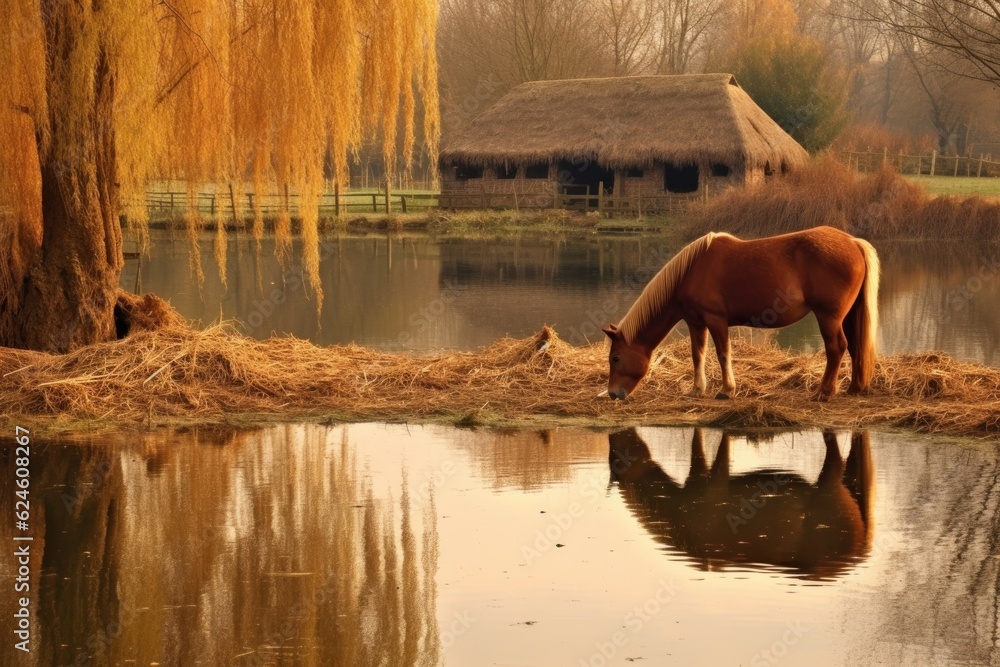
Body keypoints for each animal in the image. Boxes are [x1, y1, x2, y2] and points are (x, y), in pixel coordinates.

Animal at [602, 226, 880, 400]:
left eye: (615, 358)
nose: (613, 394)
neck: (691, 271)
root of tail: (853, 243)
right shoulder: (695, 322)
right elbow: (697, 355)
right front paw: (697, 390)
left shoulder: (716, 320)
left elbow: (723, 354)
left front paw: (727, 390)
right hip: (847, 316)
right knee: (854, 345)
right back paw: (854, 388)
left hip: (828, 317)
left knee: (837, 347)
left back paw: (824, 392)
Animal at [609, 428, 873, 579]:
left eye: (616, 461)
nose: (615, 436)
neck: (680, 520)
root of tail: (860, 551)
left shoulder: (712, 478)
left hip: (830, 479)